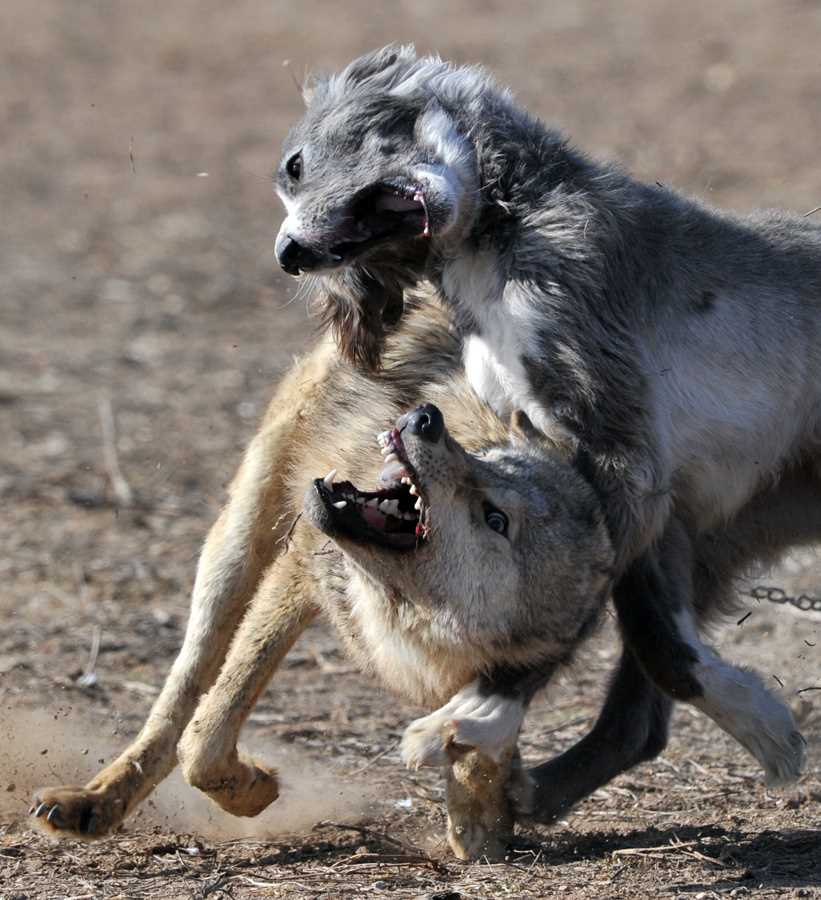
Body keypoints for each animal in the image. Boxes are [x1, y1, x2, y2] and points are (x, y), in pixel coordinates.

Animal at [28, 300, 612, 856]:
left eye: (496, 518)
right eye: (486, 458)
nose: (425, 417)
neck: (403, 614)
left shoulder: (491, 669)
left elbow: (478, 732)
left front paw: (482, 813)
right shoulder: (301, 567)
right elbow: (206, 734)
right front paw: (253, 787)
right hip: (241, 538)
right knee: (180, 700)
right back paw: (95, 801)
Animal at [272, 44, 812, 816]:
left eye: (294, 166)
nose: (287, 253)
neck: (505, 224)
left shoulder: (623, 459)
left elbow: (623, 629)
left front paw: (481, 710)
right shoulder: (612, 478)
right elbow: (642, 633)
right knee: (636, 725)